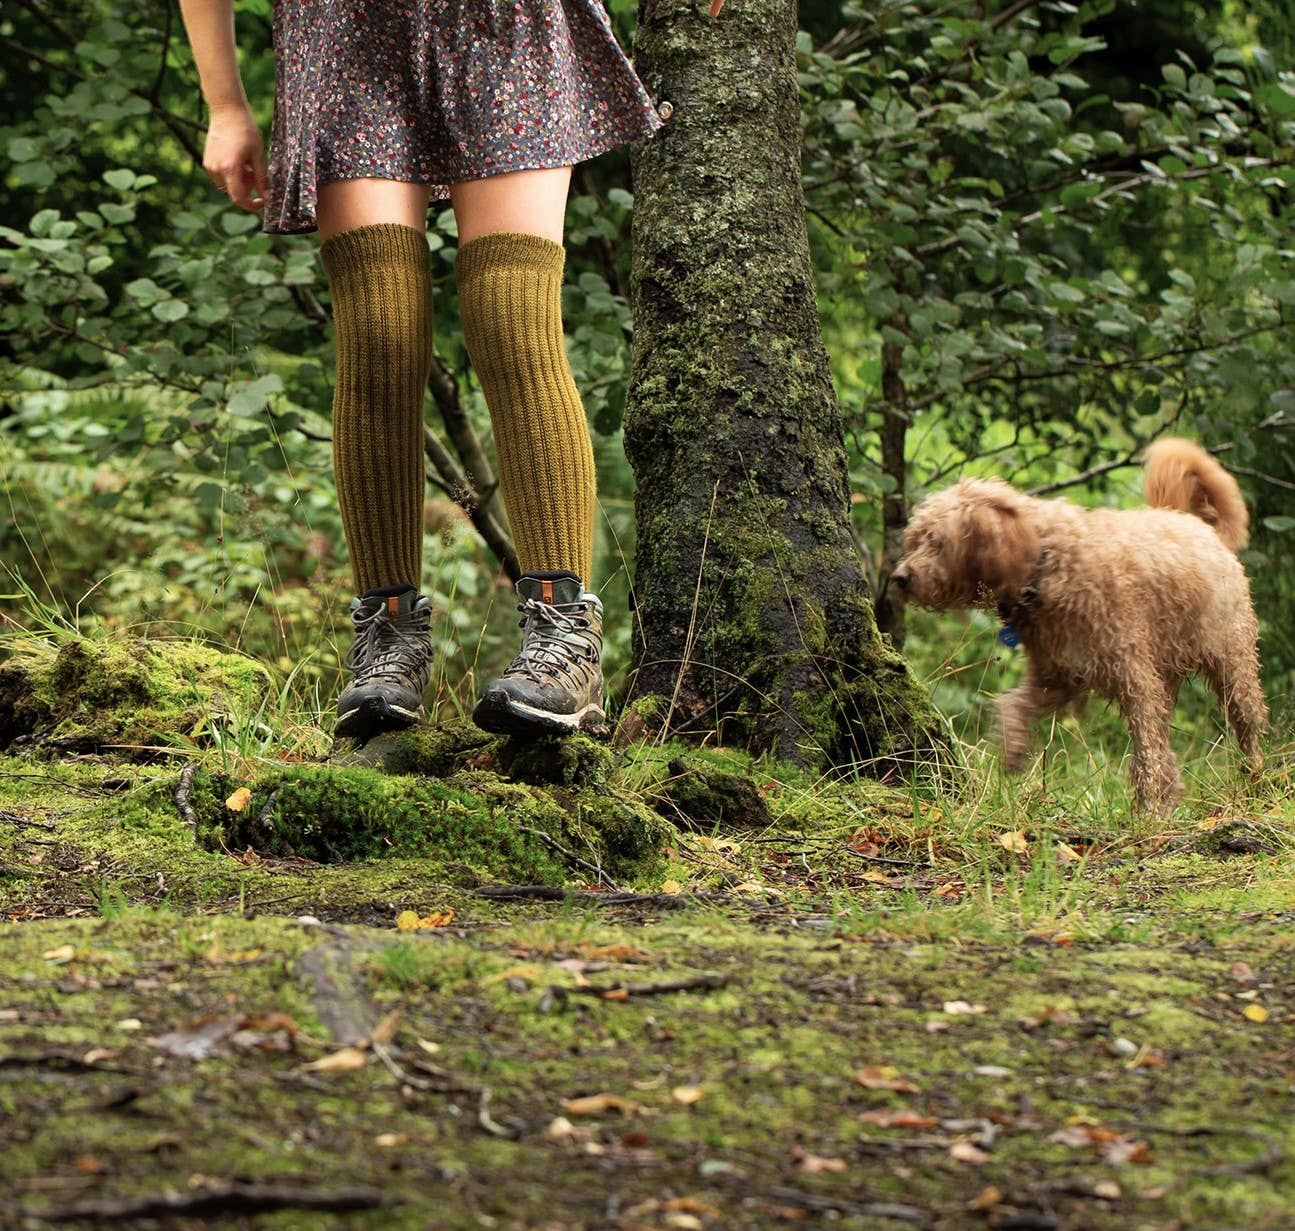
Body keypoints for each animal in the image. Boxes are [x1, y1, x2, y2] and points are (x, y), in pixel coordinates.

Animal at [890, 437, 1263, 812]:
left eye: (938, 542)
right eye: (915, 539)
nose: (900, 577)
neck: (1047, 564)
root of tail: (1195, 524)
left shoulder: (1135, 680)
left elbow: (1146, 750)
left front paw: (1150, 809)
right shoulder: (1058, 676)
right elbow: (1011, 706)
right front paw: (1012, 751)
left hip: (1232, 664)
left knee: (1247, 724)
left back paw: (1254, 781)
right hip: (1166, 674)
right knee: (1166, 733)